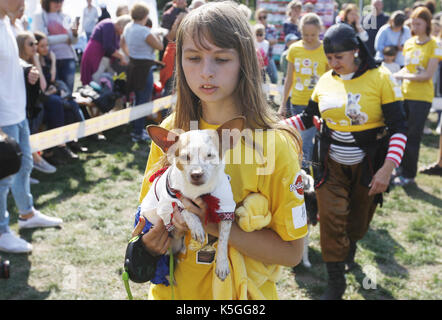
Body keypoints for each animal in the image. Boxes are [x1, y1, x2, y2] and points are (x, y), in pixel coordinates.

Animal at [140, 117, 245, 280]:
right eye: (185, 157)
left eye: (210, 155)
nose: (196, 174)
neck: (199, 192)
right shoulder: (166, 205)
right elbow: (184, 209)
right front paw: (196, 226)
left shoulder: (226, 209)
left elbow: (223, 239)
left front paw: (222, 264)